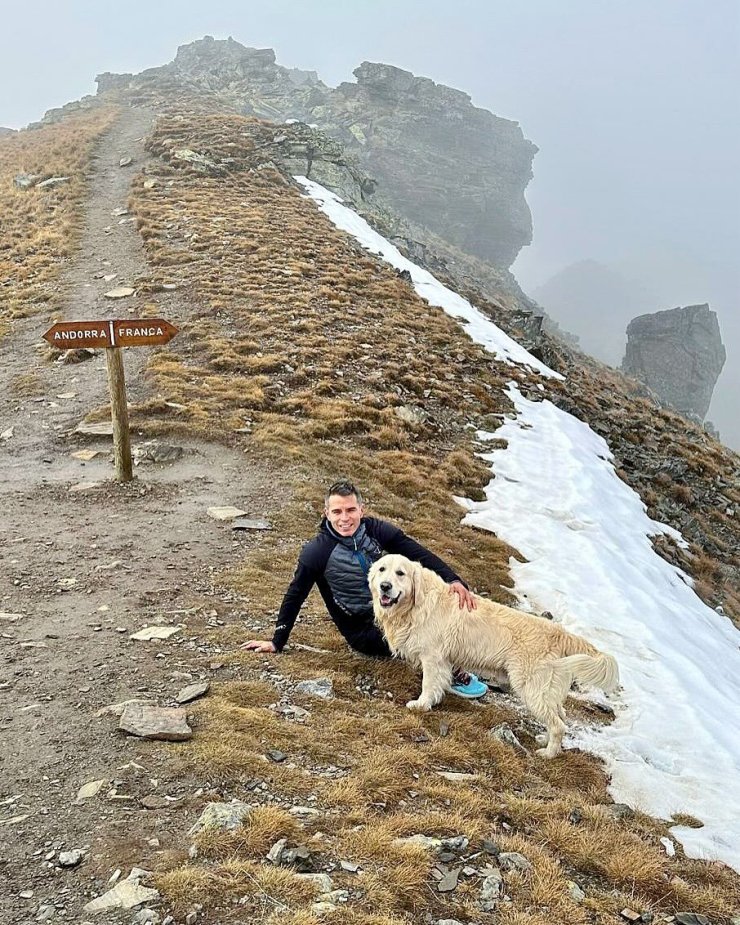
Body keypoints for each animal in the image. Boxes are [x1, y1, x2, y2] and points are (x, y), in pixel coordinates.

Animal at [368, 552, 620, 756]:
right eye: (382, 569)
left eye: (400, 573)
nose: (385, 586)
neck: (414, 605)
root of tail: (560, 633)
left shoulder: (433, 657)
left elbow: (428, 685)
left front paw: (421, 704)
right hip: (549, 690)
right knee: (561, 715)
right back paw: (544, 740)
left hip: (532, 688)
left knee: (558, 725)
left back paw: (548, 753)